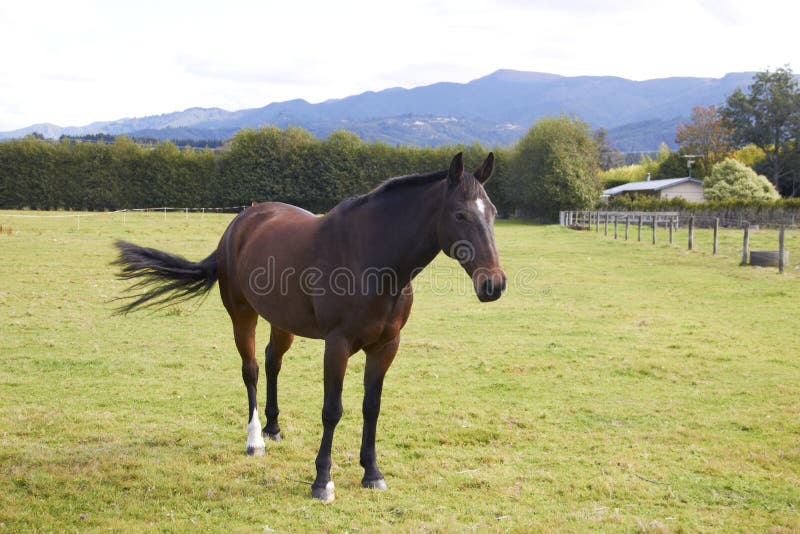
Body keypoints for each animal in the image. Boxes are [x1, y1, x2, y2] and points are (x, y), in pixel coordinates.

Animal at [112, 153, 506, 504]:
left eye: (493, 214)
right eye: (460, 214)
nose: (494, 284)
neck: (371, 258)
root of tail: (241, 221)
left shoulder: (386, 346)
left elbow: (371, 407)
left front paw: (372, 473)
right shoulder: (337, 344)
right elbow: (332, 410)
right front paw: (322, 482)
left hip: (281, 321)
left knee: (272, 362)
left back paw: (272, 428)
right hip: (242, 315)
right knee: (251, 370)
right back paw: (255, 440)